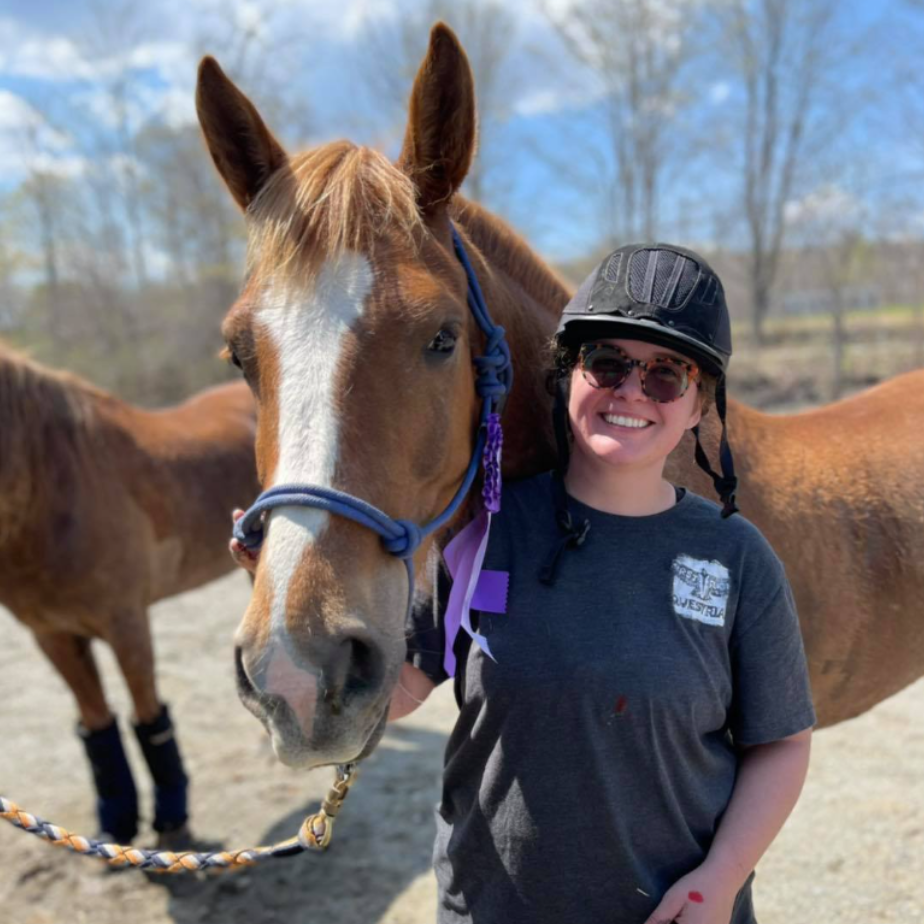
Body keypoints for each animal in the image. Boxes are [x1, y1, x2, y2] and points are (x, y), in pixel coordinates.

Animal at [0, 341, 260, 846]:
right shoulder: (53, 636)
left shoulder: (127, 625)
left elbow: (149, 716)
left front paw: (173, 821)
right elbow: (97, 725)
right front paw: (115, 824)